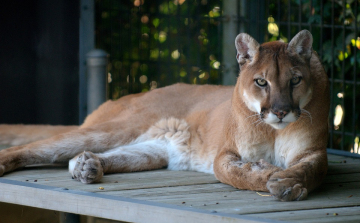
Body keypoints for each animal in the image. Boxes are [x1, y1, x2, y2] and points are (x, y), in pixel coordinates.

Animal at [0, 28, 330, 201]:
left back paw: (87, 167)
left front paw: (287, 181)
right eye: (262, 82)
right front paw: (271, 175)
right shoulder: (225, 153)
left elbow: (312, 170)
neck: (273, 130)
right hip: (116, 128)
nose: (281, 112)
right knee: (32, 148)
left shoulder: (313, 151)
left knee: (84, 158)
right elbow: (237, 173)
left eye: (295, 80)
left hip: (153, 151)